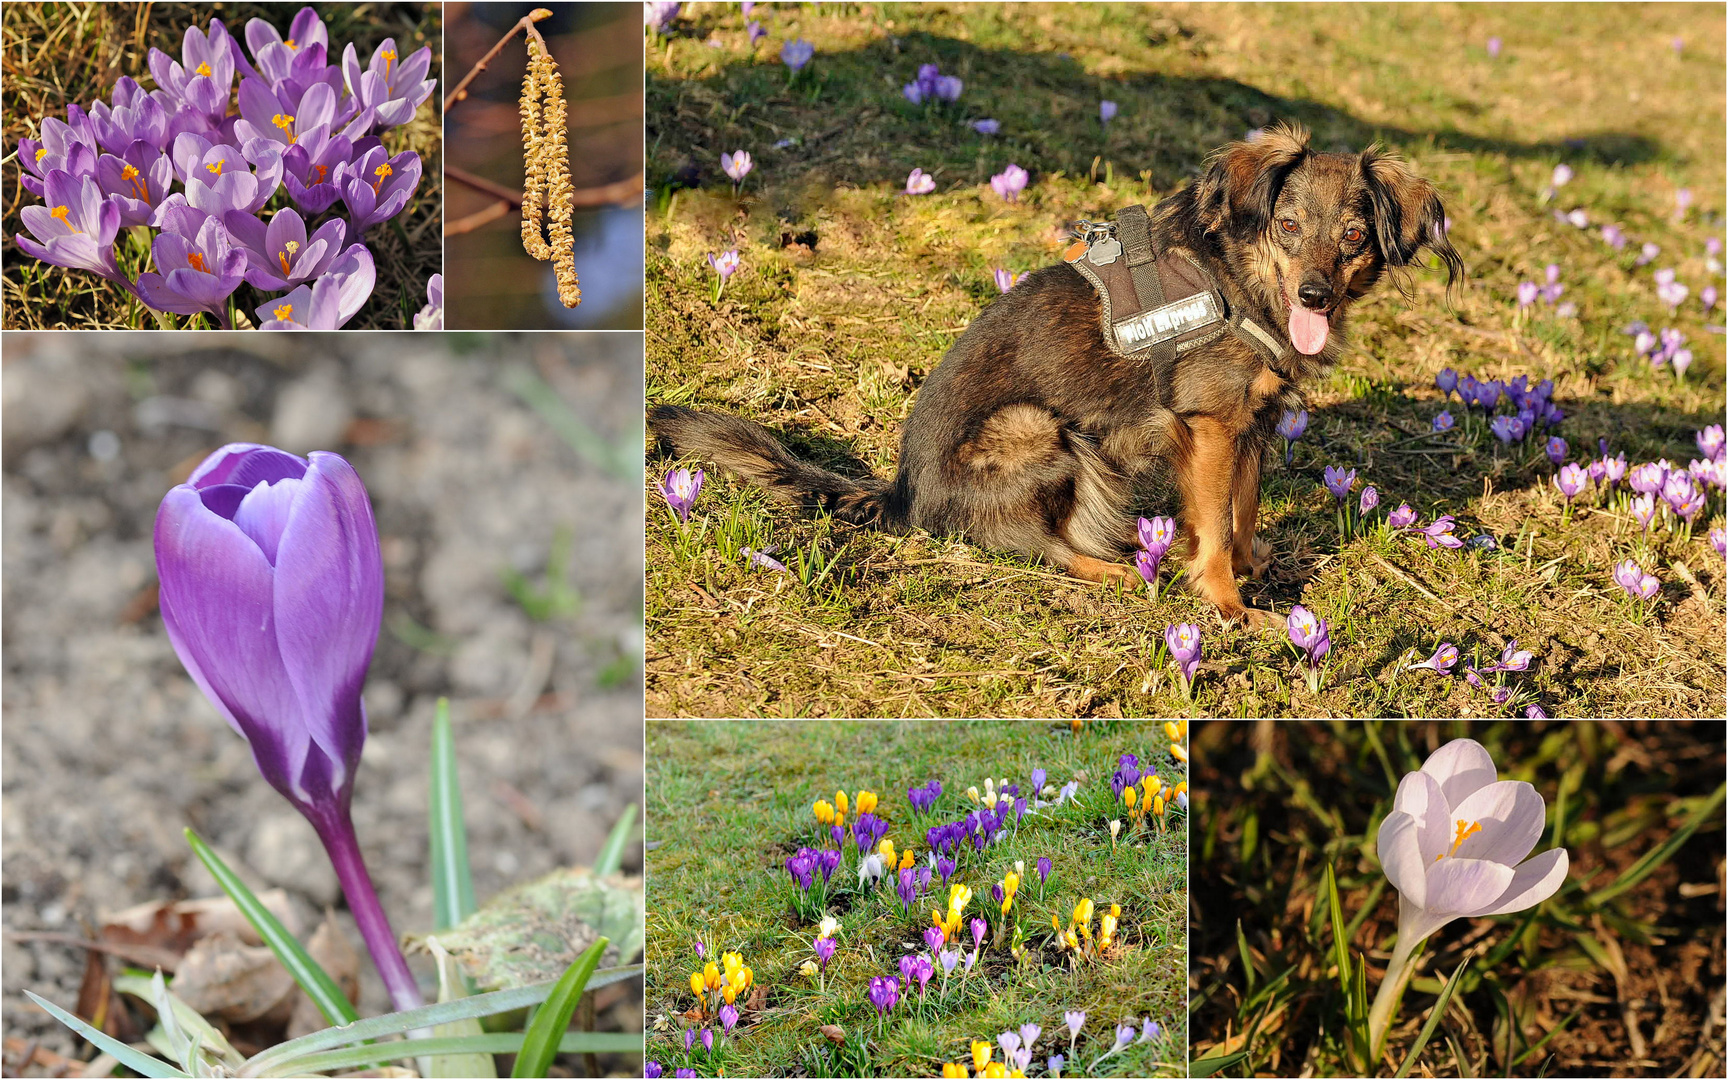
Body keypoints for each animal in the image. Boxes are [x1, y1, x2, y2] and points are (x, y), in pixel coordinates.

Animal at [653, 124, 1465, 622]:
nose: (1316, 296)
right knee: (1038, 550)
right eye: (1288, 226)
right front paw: (1228, 606)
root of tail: (904, 494)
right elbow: (1212, 527)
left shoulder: (1251, 424)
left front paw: (1254, 566)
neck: (1243, 279)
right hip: (1043, 432)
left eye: (1354, 236)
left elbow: (1243, 510)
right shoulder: (1207, 426)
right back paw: (1123, 572)